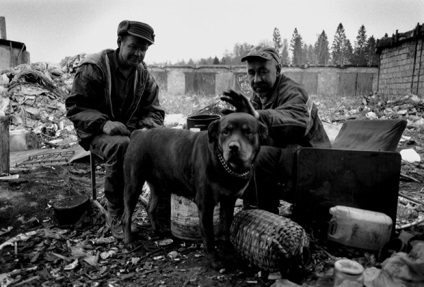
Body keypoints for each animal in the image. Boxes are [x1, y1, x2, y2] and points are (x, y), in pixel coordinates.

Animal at [123, 113, 268, 270]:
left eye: (248, 132)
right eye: (225, 132)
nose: (233, 147)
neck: (224, 165)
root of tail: (138, 134)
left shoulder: (229, 201)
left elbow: (227, 228)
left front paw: (229, 250)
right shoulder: (205, 203)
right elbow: (209, 235)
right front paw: (214, 260)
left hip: (158, 185)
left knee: (150, 208)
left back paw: (157, 230)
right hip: (133, 184)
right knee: (126, 215)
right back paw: (129, 241)